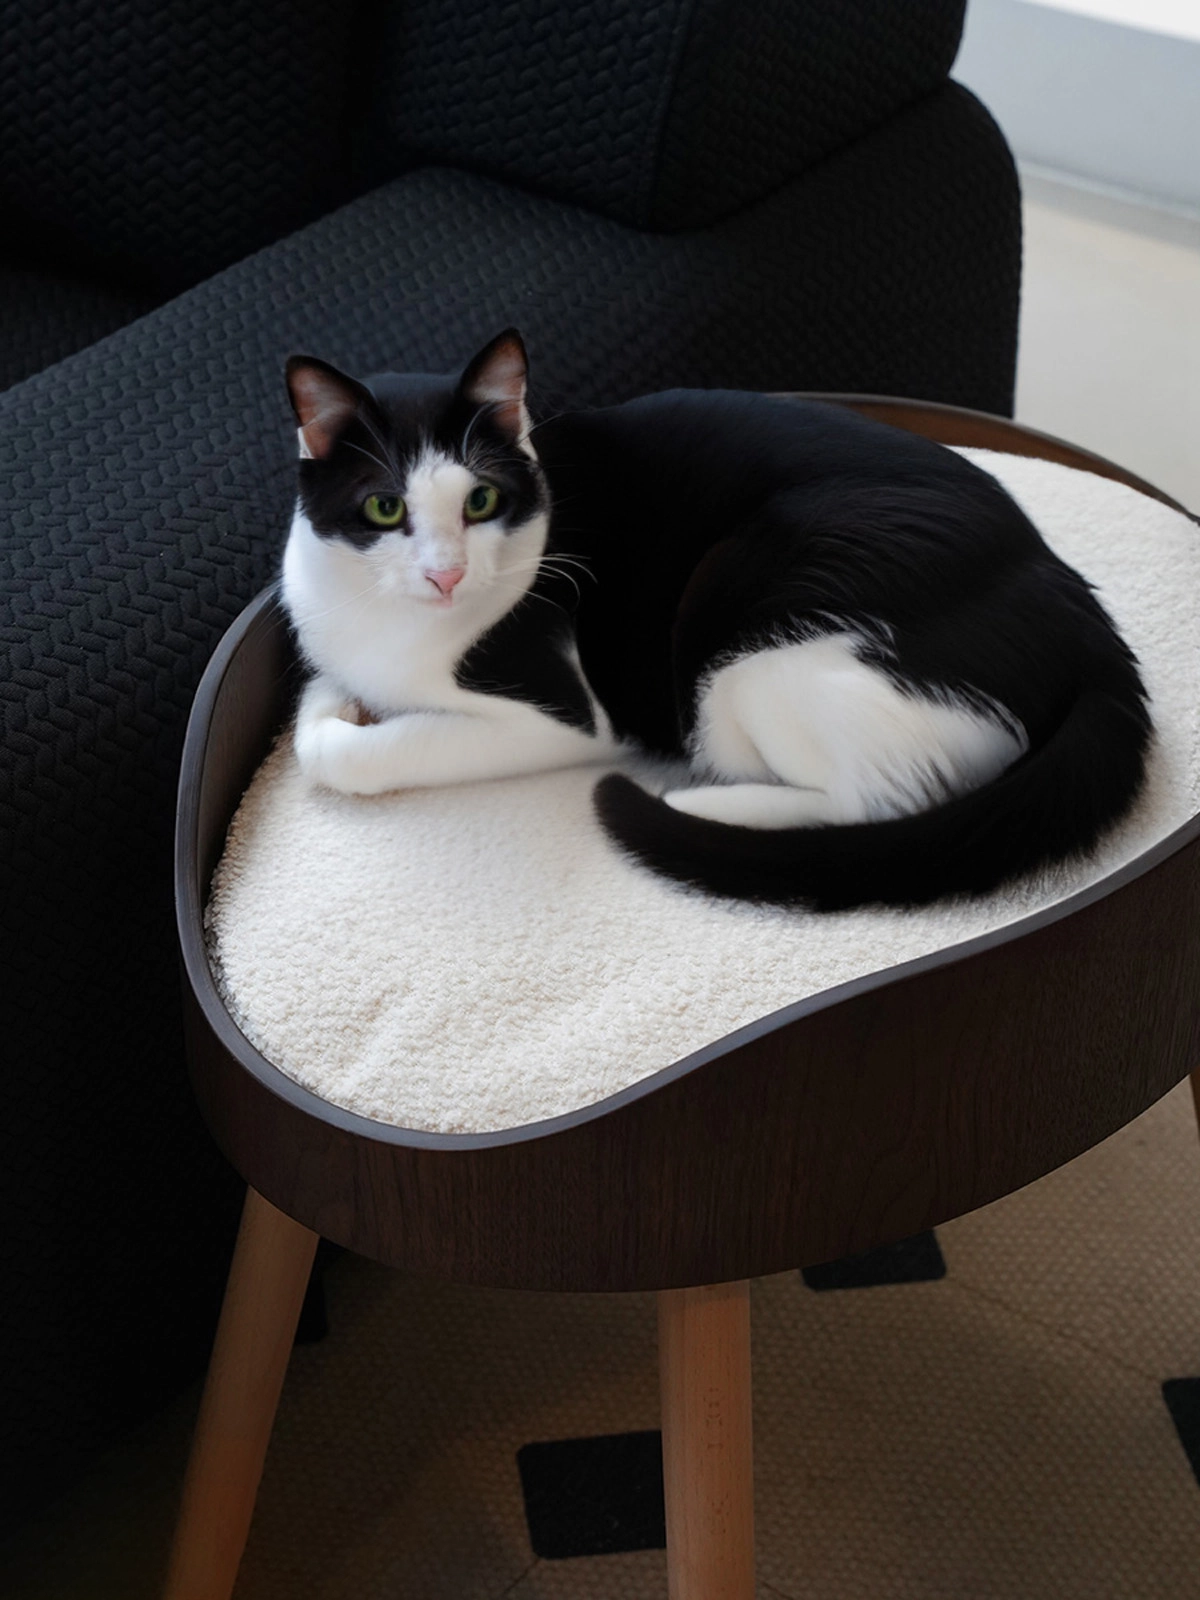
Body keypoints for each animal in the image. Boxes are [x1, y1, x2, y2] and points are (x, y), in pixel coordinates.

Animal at [281, 328, 1158, 915]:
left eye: (481, 501)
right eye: (385, 508)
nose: (446, 573)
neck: (385, 620)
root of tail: (1080, 613)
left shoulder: (563, 716)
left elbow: (343, 752)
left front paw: (346, 724)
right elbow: (319, 694)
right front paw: (338, 697)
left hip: (745, 624)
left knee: (877, 803)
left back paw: (702, 804)